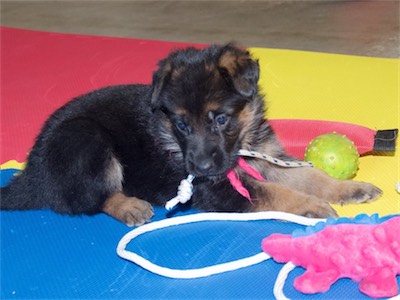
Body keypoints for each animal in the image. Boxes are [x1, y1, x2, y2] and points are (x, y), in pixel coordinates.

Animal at [0, 44, 382, 225]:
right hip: (84, 136)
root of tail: (31, 171)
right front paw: (309, 207)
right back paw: (127, 205)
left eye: (221, 119)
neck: (241, 143)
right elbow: (274, 193)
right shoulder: (220, 189)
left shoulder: (266, 157)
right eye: (182, 125)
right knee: (86, 198)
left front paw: (346, 189)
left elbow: (308, 176)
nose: (198, 168)